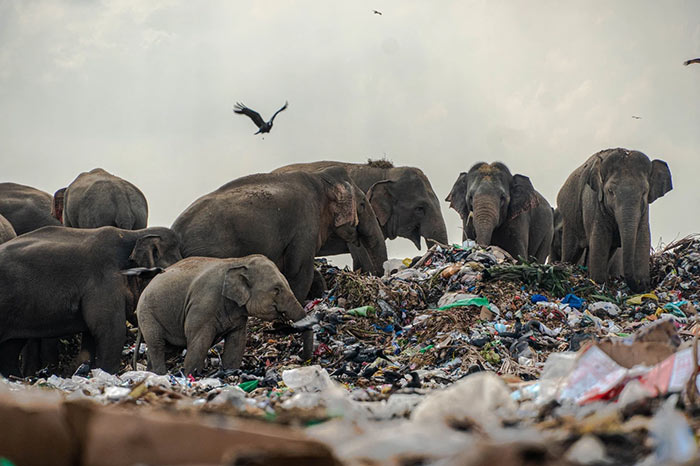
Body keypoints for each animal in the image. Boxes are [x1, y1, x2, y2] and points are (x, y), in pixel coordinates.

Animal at [0, 226, 180, 374]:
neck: (134, 234)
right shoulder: (104, 282)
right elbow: (111, 332)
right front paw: (107, 374)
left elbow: (91, 338)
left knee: (11, 348)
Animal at [137, 255, 312, 374]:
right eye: (276, 289)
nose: (305, 360)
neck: (239, 261)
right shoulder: (202, 306)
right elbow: (199, 342)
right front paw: (191, 375)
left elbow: (237, 341)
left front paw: (229, 372)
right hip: (148, 315)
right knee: (157, 345)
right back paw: (160, 375)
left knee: (167, 348)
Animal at [556, 148, 672, 292]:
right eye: (610, 191)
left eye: (645, 192)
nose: (640, 284)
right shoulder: (595, 206)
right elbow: (600, 240)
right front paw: (599, 283)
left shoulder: (644, 211)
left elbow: (643, 238)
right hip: (570, 218)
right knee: (571, 251)